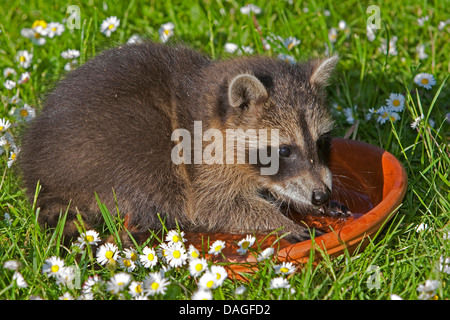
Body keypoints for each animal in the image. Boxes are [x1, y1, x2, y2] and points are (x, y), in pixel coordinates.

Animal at [18, 42, 348, 242]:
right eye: (284, 150)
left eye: (321, 141)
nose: (320, 195)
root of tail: (38, 171)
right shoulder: (201, 165)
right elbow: (215, 207)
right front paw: (283, 222)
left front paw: (305, 203)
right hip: (112, 148)